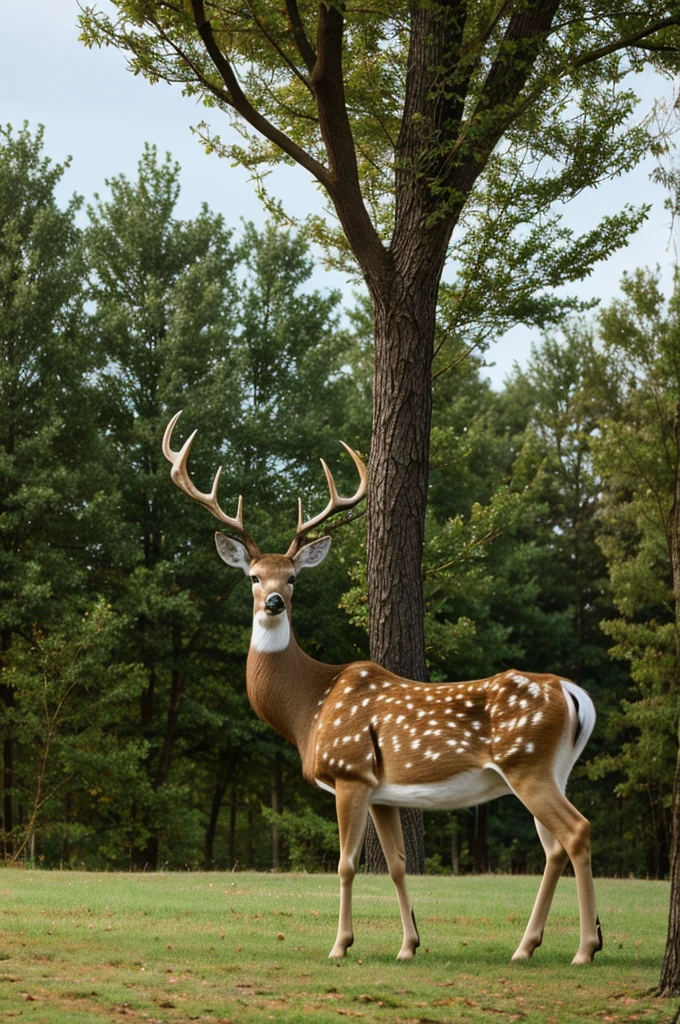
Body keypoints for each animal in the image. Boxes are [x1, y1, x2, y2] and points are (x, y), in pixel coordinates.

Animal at [163, 409, 602, 966]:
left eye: (294, 578)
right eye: (254, 577)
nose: (275, 603)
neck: (310, 708)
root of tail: (574, 695)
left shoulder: (349, 771)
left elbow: (346, 864)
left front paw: (340, 945)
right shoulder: (384, 791)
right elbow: (395, 863)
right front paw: (409, 945)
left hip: (529, 765)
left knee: (577, 831)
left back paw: (585, 948)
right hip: (551, 769)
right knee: (554, 847)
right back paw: (527, 947)